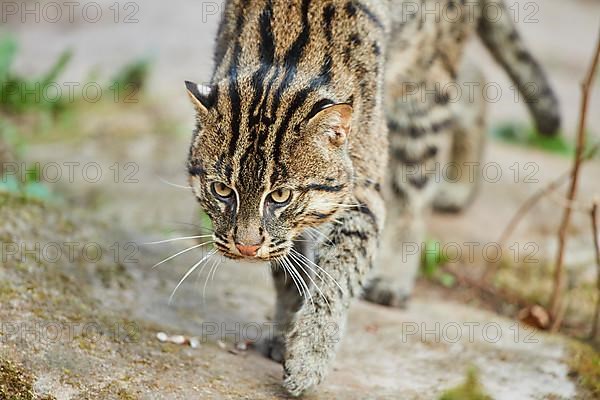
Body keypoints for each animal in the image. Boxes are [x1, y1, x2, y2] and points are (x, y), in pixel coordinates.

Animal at [185, 0, 560, 396]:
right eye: (221, 190)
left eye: (281, 195)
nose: (245, 247)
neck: (281, 65)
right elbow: (288, 270)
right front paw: (286, 330)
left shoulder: (361, 194)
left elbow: (338, 276)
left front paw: (309, 356)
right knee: (472, 77)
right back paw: (460, 186)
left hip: (421, 89)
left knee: (414, 187)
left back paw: (396, 271)